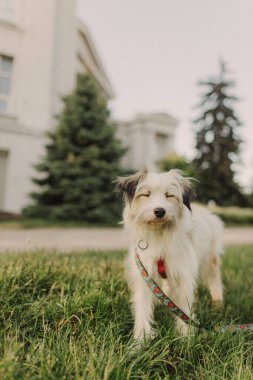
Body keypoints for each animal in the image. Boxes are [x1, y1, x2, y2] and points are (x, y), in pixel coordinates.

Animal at [115, 171, 223, 340]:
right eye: (146, 194)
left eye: (169, 195)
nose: (160, 211)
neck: (159, 234)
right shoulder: (144, 275)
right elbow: (142, 308)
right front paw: (140, 339)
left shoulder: (182, 276)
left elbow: (184, 308)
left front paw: (186, 338)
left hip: (210, 259)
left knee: (214, 279)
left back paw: (218, 301)